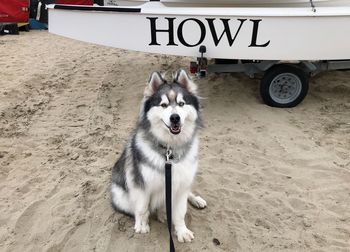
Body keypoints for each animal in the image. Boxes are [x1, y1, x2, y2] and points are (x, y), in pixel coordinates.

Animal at [110, 69, 206, 242]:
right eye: (164, 105)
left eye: (181, 104)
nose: (175, 118)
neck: (169, 150)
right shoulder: (140, 184)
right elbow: (142, 208)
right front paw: (142, 225)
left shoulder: (181, 185)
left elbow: (180, 213)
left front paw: (182, 231)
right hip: (120, 198)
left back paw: (195, 200)